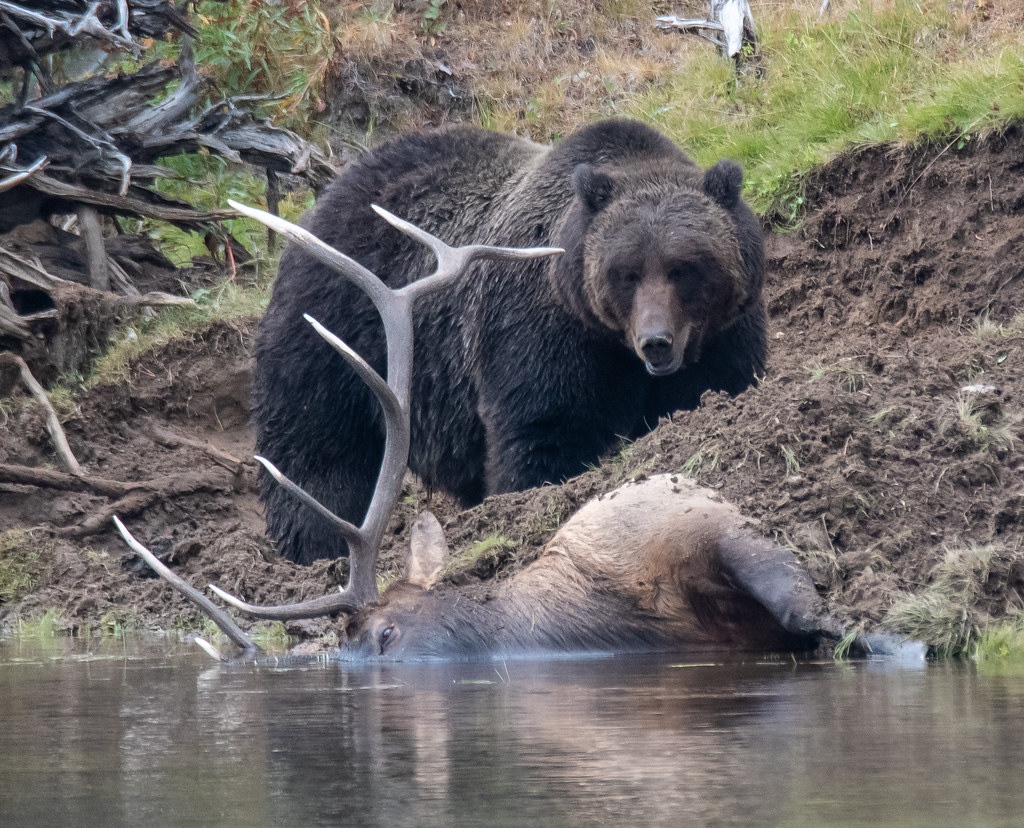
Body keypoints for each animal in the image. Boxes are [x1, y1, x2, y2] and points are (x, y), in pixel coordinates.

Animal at [252, 119, 766, 565]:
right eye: (627, 272)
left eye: (684, 267)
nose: (655, 342)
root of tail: (327, 196)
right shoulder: (537, 335)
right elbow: (541, 437)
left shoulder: (722, 336)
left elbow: (718, 387)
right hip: (333, 339)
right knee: (317, 455)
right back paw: (315, 552)